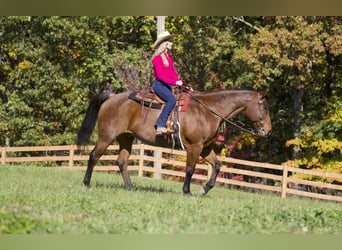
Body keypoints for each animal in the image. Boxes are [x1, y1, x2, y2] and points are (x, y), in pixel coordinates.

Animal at [77, 89, 272, 196]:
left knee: (122, 162)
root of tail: (111, 97)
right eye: (263, 106)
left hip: (126, 138)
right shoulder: (194, 147)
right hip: (106, 137)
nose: (269, 131)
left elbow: (217, 166)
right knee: (93, 156)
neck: (209, 110)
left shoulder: (205, 148)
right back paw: (86, 183)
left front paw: (204, 189)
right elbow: (190, 169)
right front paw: (187, 191)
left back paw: (131, 187)